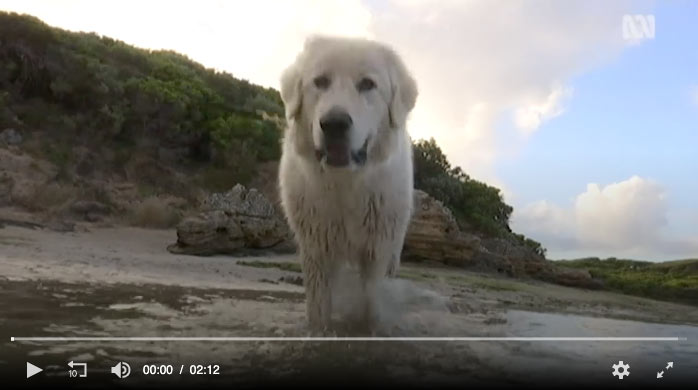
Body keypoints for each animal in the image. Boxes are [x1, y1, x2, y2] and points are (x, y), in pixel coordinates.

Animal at [278, 35, 416, 332]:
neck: (345, 183)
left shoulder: (378, 246)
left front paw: (371, 329)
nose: (334, 123)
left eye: (367, 84)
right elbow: (319, 308)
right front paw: (319, 332)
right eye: (320, 81)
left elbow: (373, 302)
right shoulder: (316, 247)